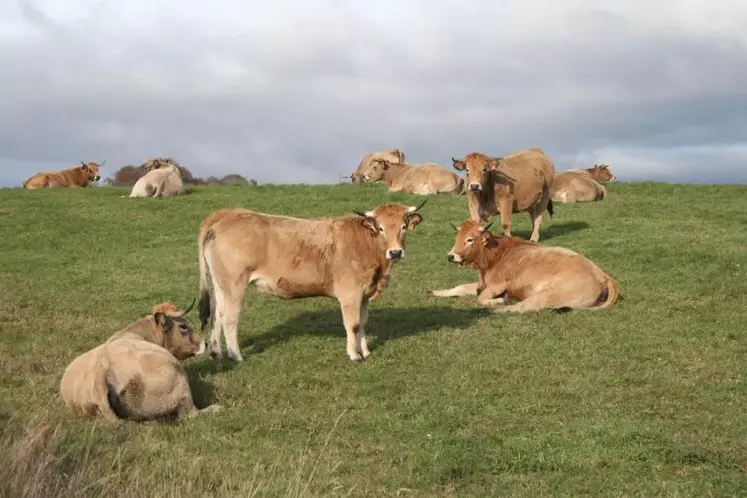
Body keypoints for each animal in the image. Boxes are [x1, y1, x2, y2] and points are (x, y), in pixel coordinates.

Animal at [59, 300, 221, 424]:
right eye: (183, 326)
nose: (205, 343)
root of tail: (103, 369)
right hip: (181, 388)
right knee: (190, 414)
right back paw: (215, 408)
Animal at [197, 200, 426, 364]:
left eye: (404, 226)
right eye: (380, 228)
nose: (395, 252)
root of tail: (227, 215)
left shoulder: (364, 295)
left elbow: (362, 323)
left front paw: (366, 352)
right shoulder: (350, 293)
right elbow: (352, 324)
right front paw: (354, 355)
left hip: (221, 285)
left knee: (217, 315)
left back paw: (217, 353)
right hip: (234, 285)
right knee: (230, 319)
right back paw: (236, 356)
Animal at [430, 221, 624, 312]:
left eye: (470, 239)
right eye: (457, 238)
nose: (451, 256)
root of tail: (602, 275)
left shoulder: (498, 284)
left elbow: (481, 298)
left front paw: (497, 300)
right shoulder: (481, 284)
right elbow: (460, 287)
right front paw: (437, 292)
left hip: (548, 295)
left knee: (523, 307)